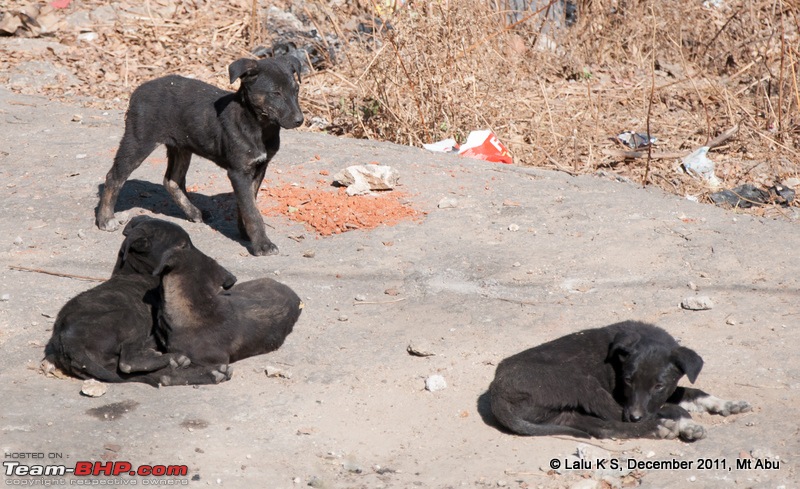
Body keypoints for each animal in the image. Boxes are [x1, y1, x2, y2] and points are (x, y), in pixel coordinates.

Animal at [43, 216, 231, 386]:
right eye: (183, 245)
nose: (229, 277)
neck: (136, 271)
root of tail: (67, 342)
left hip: (111, 366)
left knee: (158, 375)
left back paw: (208, 372)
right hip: (130, 316)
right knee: (128, 362)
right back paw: (174, 357)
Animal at [94, 54, 306, 255]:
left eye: (296, 90)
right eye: (275, 93)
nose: (300, 120)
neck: (258, 125)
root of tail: (139, 89)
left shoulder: (259, 167)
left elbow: (248, 204)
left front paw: (246, 233)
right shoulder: (238, 171)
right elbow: (251, 211)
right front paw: (262, 244)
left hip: (181, 147)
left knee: (171, 181)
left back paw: (194, 212)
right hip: (139, 140)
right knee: (114, 177)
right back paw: (105, 219)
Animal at [488, 320, 752, 438]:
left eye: (659, 385)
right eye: (627, 380)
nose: (635, 416)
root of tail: (496, 393)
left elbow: (688, 392)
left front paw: (725, 403)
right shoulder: (625, 400)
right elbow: (671, 405)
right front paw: (682, 418)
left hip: (563, 412)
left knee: (604, 426)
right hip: (580, 382)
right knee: (613, 416)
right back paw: (663, 426)